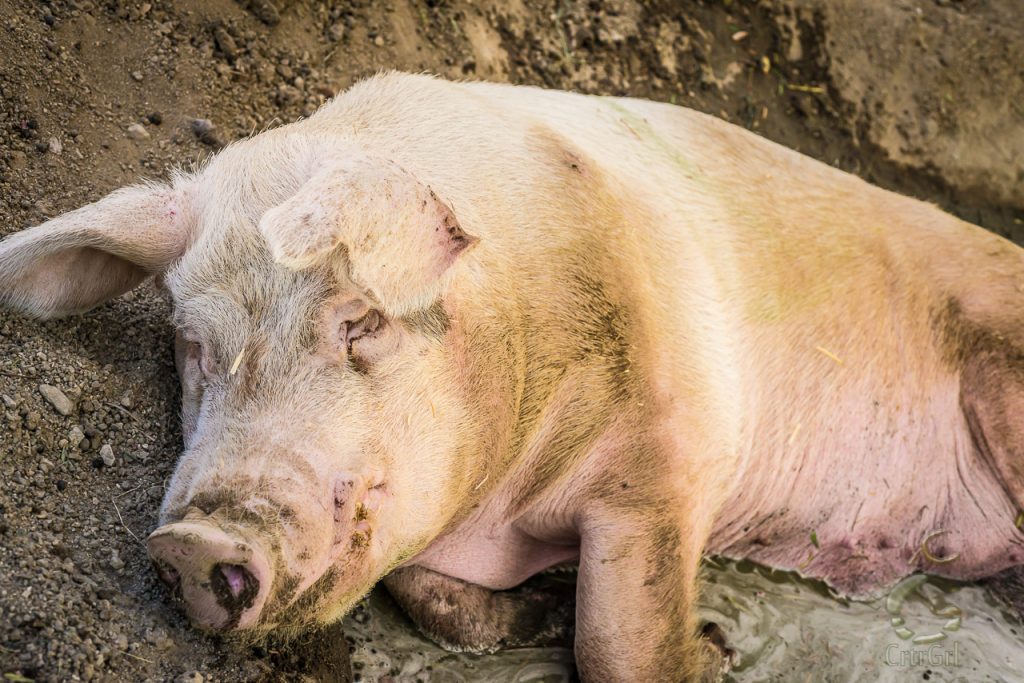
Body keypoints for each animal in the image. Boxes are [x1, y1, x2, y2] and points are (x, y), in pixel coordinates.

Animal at [2, 72, 1024, 679]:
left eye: (360, 321)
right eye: (194, 346)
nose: (194, 541)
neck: (508, 500)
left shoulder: (673, 459)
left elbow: (619, 639)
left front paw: (717, 647)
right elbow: (436, 601)